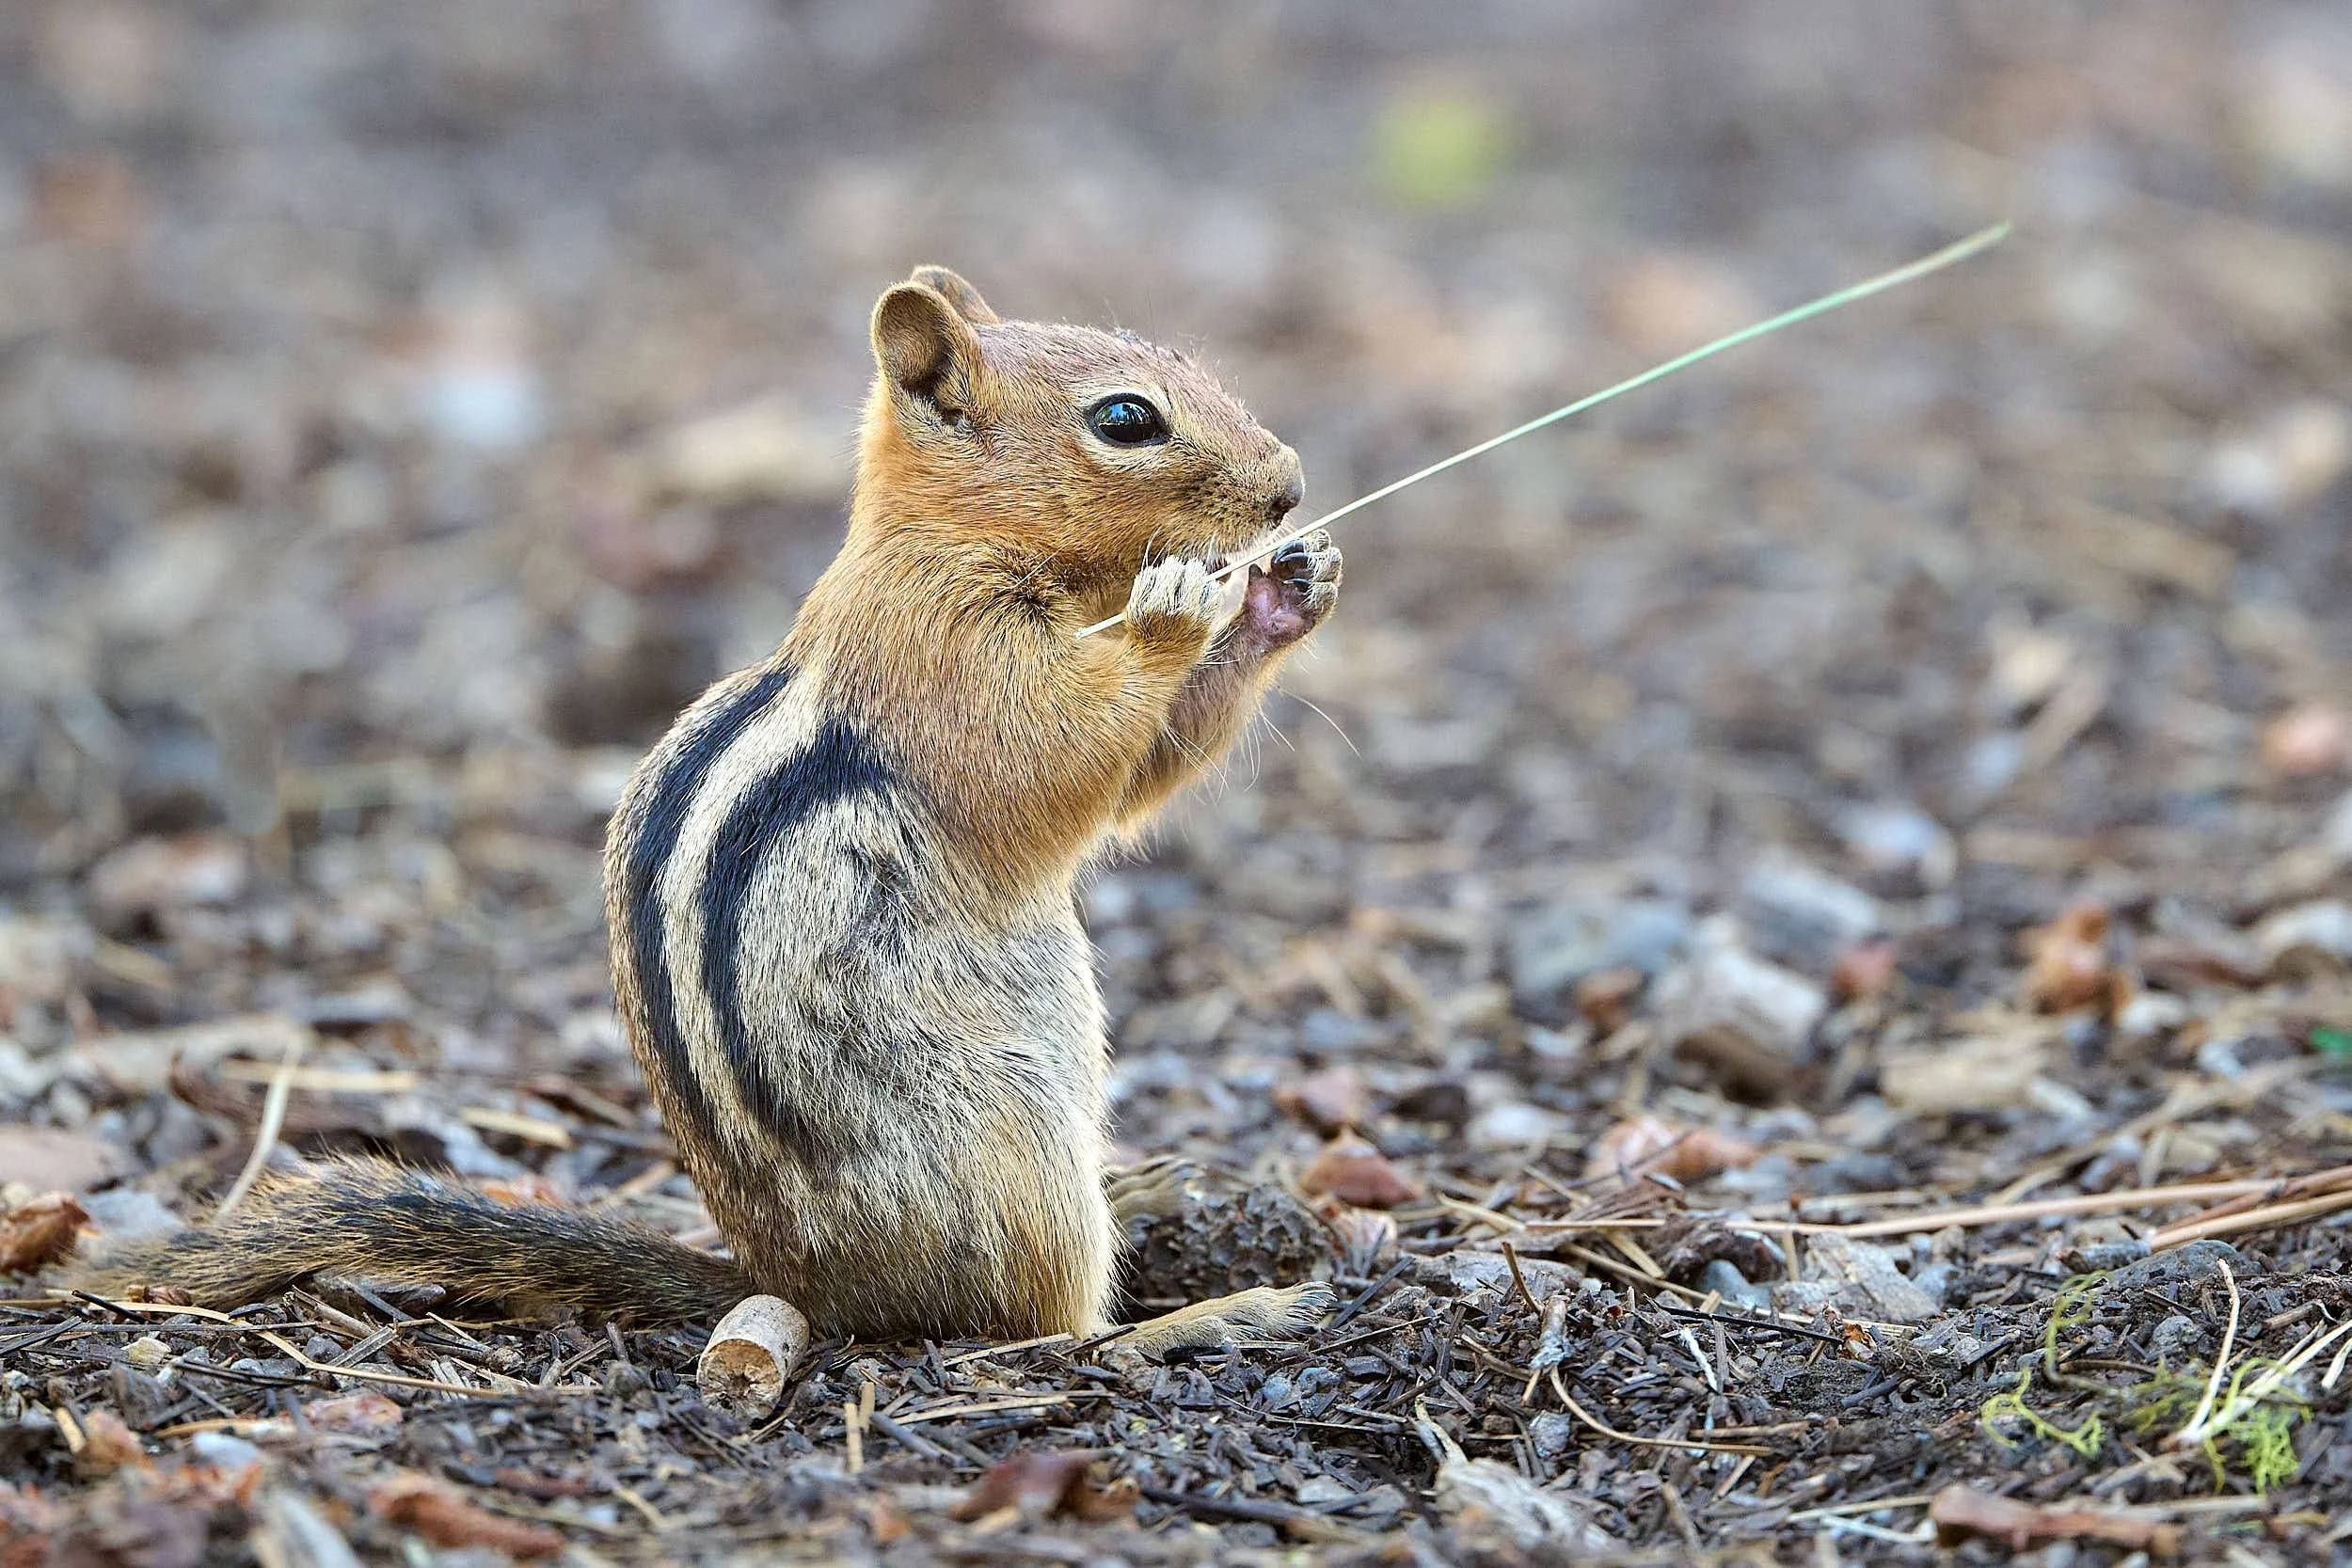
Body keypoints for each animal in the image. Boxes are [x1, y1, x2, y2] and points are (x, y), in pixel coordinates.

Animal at [68, 266, 1345, 1358]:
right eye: (1126, 419)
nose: (1289, 483)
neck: (943, 541)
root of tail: (808, 1283)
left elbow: (1143, 770)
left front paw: (1289, 588)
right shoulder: (947, 660)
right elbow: (1052, 766)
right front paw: (1177, 607)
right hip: (1006, 1146)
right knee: (1037, 1330)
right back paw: (1205, 1313)